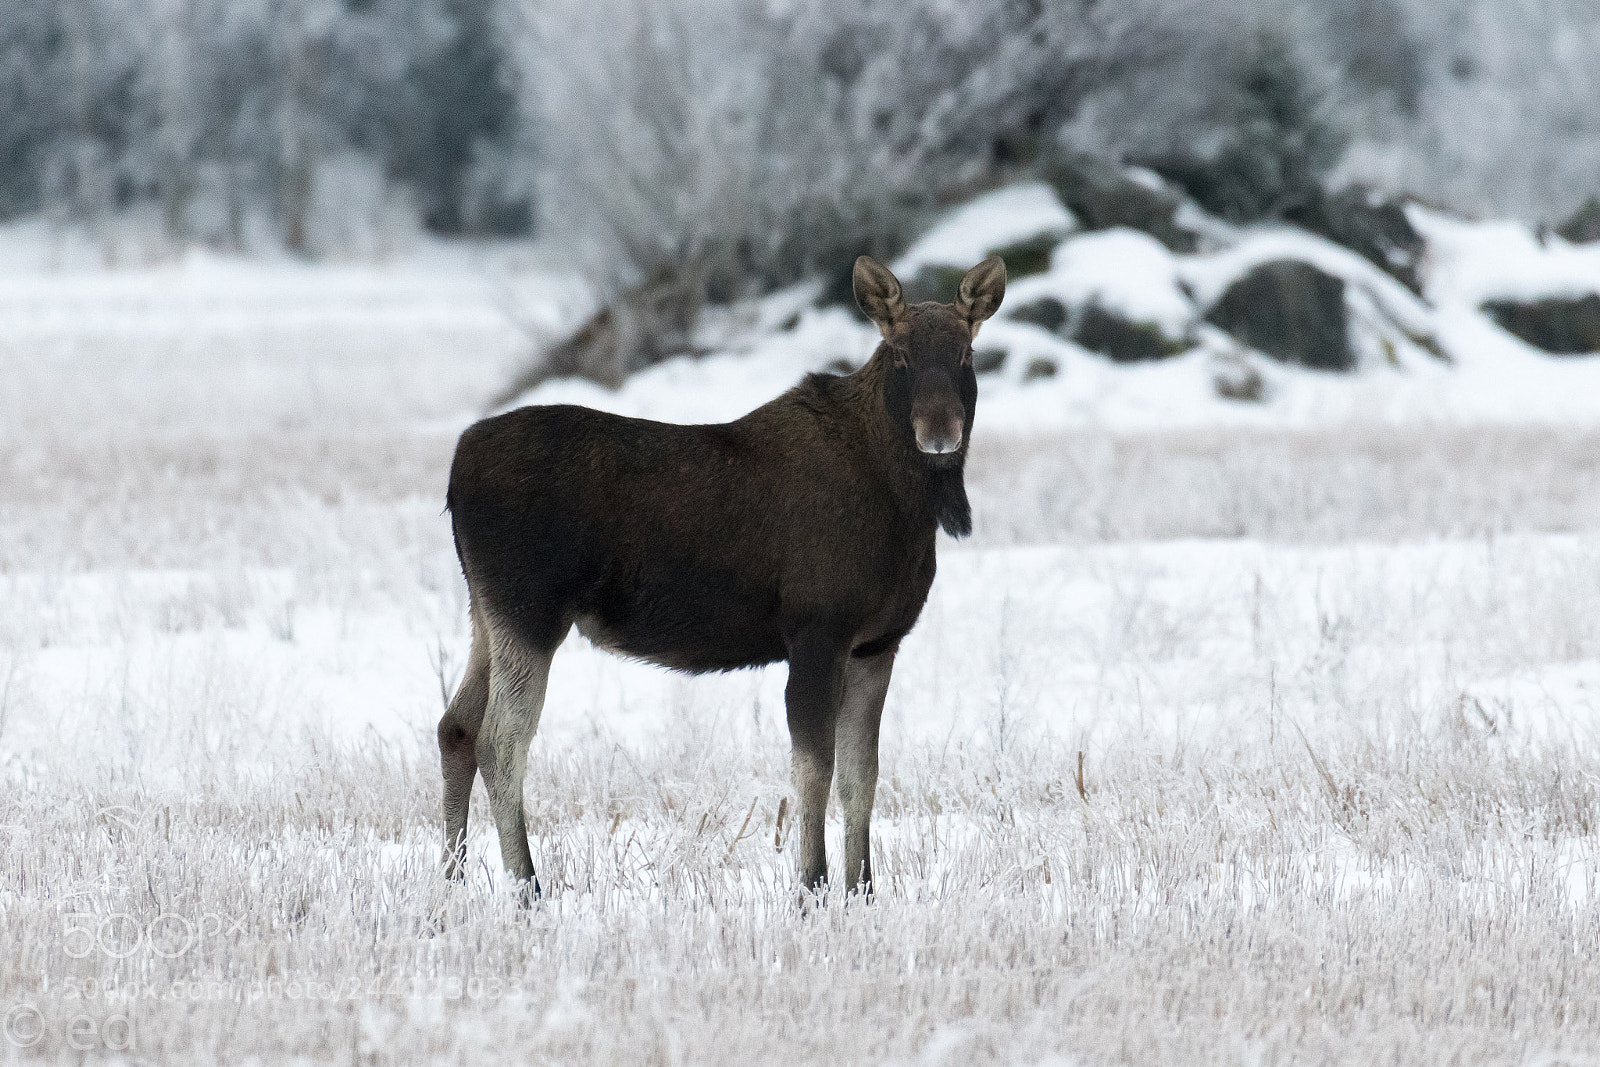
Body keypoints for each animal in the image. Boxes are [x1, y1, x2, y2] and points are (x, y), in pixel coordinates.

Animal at [437, 254, 1005, 900]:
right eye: (901, 354)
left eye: (966, 353)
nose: (939, 432)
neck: (906, 505)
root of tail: (455, 471)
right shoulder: (817, 631)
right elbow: (813, 770)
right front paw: (811, 887)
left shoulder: (877, 644)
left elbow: (862, 776)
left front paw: (862, 889)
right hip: (529, 610)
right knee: (500, 741)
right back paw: (528, 888)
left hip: (487, 612)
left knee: (455, 727)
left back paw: (451, 884)